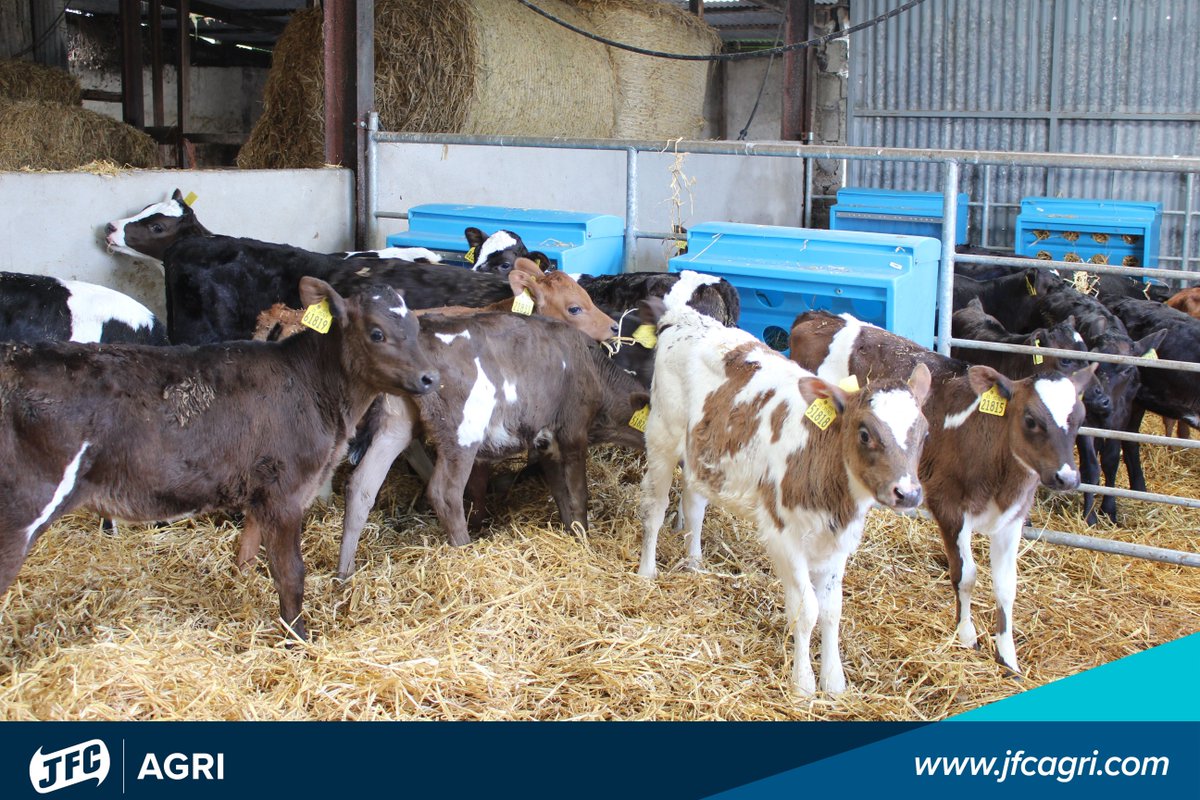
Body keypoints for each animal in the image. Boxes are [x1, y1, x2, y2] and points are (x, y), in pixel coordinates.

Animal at [337, 314, 646, 577]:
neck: (595, 371)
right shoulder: (573, 433)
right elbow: (579, 494)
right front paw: (583, 538)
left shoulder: (546, 441)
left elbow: (561, 492)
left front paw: (570, 530)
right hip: (463, 432)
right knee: (445, 492)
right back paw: (464, 548)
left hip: (396, 423)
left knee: (361, 486)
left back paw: (344, 573)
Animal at [635, 297, 931, 697]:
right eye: (865, 432)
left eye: (924, 433)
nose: (908, 493)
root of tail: (684, 317)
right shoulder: (784, 537)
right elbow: (807, 609)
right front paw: (803, 684)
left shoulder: (837, 543)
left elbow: (832, 610)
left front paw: (834, 681)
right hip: (662, 436)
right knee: (655, 507)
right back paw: (647, 571)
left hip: (702, 453)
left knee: (695, 504)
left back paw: (695, 563)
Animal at [789, 311, 1096, 677]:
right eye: (1031, 419)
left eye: (1079, 418)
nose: (1067, 477)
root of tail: (818, 316)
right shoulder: (948, 504)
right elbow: (966, 575)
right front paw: (966, 635)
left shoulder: (1013, 518)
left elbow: (1007, 585)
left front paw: (1007, 656)